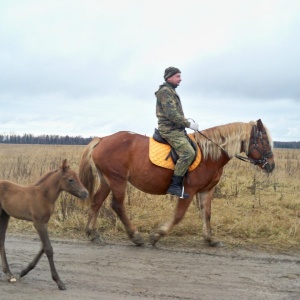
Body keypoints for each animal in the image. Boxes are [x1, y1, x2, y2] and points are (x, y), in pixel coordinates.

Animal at [0, 158, 88, 290]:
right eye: (70, 180)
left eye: (78, 177)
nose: (85, 193)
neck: (44, 195)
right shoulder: (39, 223)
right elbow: (48, 248)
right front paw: (59, 281)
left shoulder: (44, 223)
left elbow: (43, 246)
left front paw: (24, 271)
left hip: (5, 215)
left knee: (2, 240)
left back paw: (9, 274)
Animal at [79, 119, 274, 248]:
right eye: (264, 141)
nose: (271, 165)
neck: (209, 155)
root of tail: (102, 139)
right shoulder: (189, 190)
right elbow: (179, 215)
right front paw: (157, 235)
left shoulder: (207, 190)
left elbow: (207, 214)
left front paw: (210, 239)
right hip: (117, 180)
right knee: (117, 205)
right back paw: (135, 236)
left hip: (107, 180)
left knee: (97, 202)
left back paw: (92, 233)